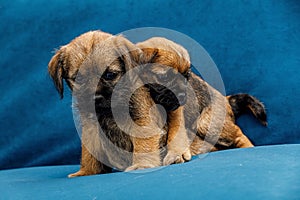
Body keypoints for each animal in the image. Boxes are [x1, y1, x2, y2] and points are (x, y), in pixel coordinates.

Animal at [48, 30, 169, 177]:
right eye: (79, 79)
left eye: (110, 75)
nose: (96, 97)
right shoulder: (91, 129)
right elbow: (89, 153)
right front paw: (87, 171)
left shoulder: (142, 121)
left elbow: (143, 145)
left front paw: (142, 165)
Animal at [136, 37, 268, 155]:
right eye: (164, 77)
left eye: (187, 76)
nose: (182, 95)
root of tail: (226, 100)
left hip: (207, 124)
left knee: (238, 134)